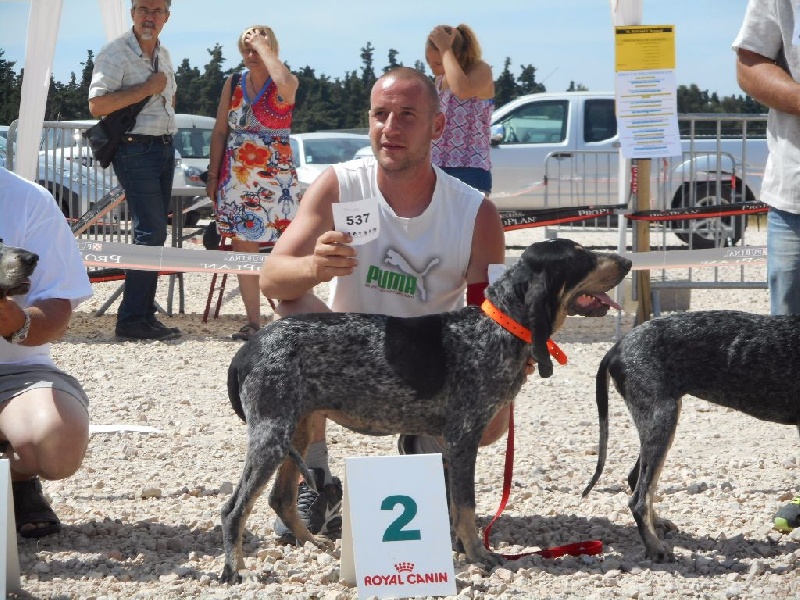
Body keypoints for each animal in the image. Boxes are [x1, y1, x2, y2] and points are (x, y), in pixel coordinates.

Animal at [220, 239, 632, 580]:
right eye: (581, 255)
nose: (628, 261)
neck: (495, 327)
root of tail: (248, 349)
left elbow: (455, 506)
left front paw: (459, 548)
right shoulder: (463, 438)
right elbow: (466, 508)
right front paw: (479, 555)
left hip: (296, 428)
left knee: (279, 498)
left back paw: (311, 541)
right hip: (273, 435)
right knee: (233, 510)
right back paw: (236, 569)